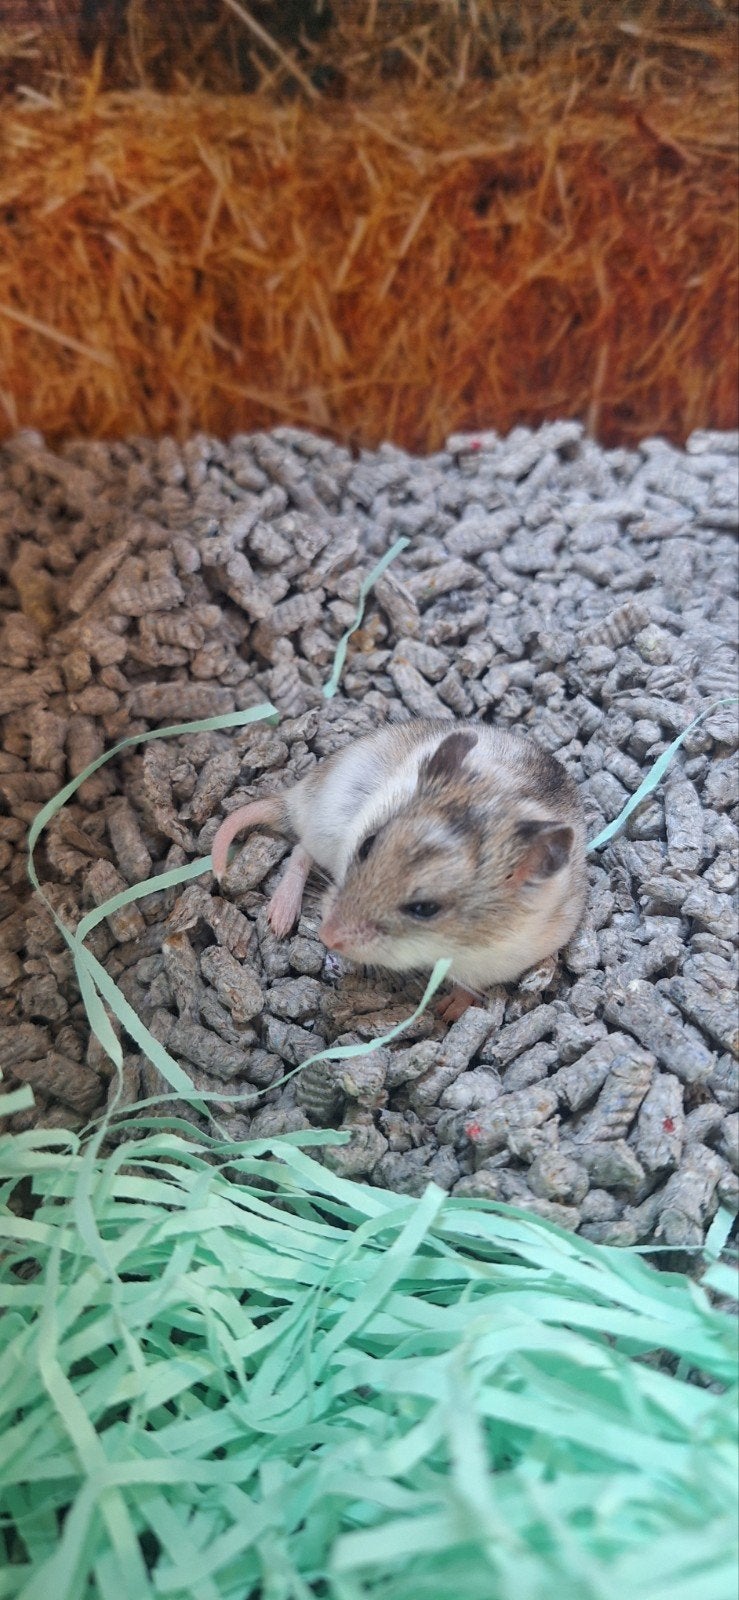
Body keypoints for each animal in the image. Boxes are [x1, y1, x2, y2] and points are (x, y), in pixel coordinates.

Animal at [210, 719, 587, 1019]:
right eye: (366, 845)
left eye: (424, 909)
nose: (327, 936)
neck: (456, 944)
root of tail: (296, 798)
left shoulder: (500, 960)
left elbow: (468, 985)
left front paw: (446, 1013)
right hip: (330, 827)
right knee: (301, 850)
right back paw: (280, 919)